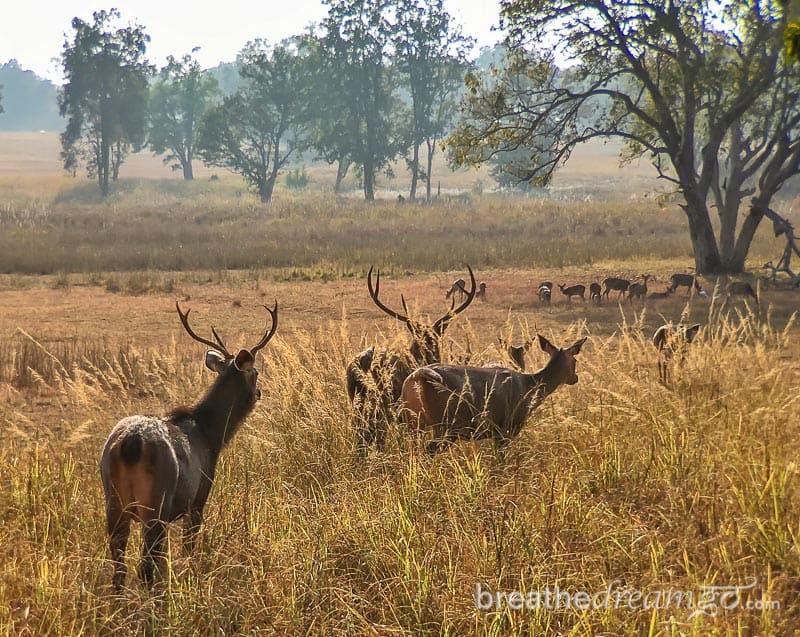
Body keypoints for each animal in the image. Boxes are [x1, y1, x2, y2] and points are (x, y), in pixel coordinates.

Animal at [99, 300, 278, 588]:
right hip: (157, 501)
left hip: (112, 500)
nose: (259, 393)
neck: (212, 436)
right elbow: (189, 547)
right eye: (256, 372)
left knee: (120, 568)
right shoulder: (199, 496)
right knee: (145, 566)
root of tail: (131, 444)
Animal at [346, 264, 476, 458]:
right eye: (420, 337)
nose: (433, 353)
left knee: (362, 432)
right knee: (375, 431)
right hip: (384, 399)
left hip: (356, 397)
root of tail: (362, 364)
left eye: (436, 336)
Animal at [404, 330, 584, 454]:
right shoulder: (507, 427)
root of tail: (417, 375)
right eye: (575, 360)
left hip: (415, 421)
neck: (530, 388)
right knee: (428, 450)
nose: (575, 377)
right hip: (447, 423)